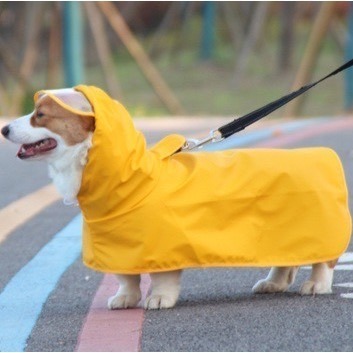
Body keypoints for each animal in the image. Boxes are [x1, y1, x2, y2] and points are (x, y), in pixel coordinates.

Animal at [1, 86, 348, 308]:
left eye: (40, 115)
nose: (4, 129)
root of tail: (325, 154)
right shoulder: (120, 247)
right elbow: (126, 278)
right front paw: (125, 298)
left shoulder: (163, 243)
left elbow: (163, 279)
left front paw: (158, 299)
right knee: (286, 261)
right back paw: (273, 283)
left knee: (324, 262)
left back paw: (316, 285)